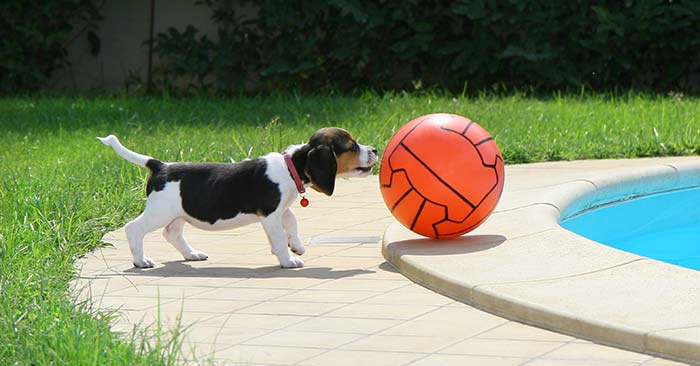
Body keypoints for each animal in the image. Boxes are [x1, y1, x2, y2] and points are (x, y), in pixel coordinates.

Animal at [98, 129, 378, 268]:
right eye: (352, 146)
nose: (375, 149)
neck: (291, 167)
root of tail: (160, 166)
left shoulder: (281, 209)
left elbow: (292, 221)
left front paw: (296, 245)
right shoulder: (270, 215)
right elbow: (279, 236)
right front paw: (288, 259)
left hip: (179, 213)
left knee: (172, 233)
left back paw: (192, 254)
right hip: (159, 212)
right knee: (134, 229)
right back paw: (140, 261)